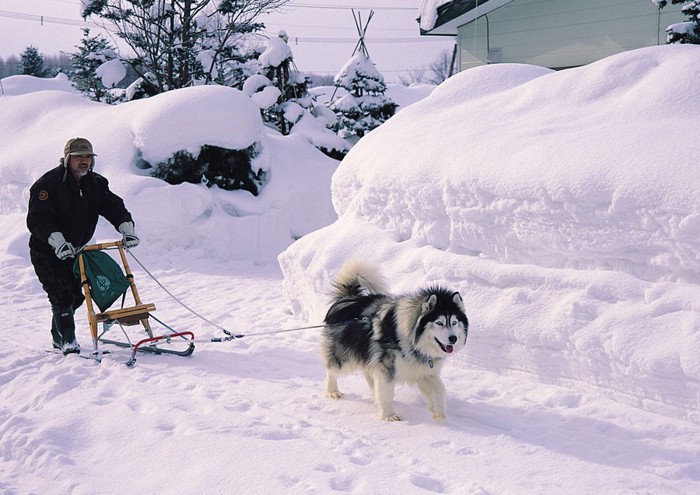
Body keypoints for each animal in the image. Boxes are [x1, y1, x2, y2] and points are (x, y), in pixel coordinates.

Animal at [322, 260, 470, 422]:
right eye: (439, 323)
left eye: (454, 322)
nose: (453, 339)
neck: (414, 341)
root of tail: (347, 298)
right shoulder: (386, 368)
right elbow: (386, 394)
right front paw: (389, 415)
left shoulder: (425, 371)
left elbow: (439, 390)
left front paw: (439, 413)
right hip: (345, 360)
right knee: (331, 371)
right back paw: (332, 391)